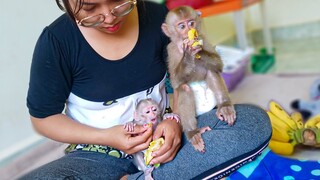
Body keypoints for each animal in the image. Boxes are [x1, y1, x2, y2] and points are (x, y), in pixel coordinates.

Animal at [161, 5, 236, 153]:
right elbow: (176, 82)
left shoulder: (204, 38)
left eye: (191, 23)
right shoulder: (170, 49)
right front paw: (188, 54)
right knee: (184, 88)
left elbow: (218, 65)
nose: (190, 31)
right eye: (182, 26)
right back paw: (193, 132)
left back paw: (224, 106)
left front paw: (198, 48)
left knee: (212, 72)